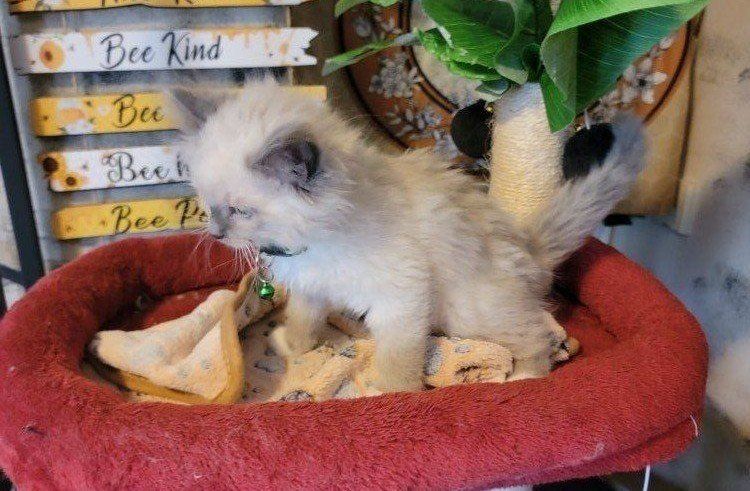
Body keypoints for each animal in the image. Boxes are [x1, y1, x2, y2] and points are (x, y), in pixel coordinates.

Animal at [170, 79, 644, 392]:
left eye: (240, 211)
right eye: (205, 202)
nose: (216, 234)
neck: (320, 237)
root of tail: (528, 246)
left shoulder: (400, 296)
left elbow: (398, 360)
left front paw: (393, 398)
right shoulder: (312, 289)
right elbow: (304, 322)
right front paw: (293, 346)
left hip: (470, 310)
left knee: (537, 334)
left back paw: (523, 379)